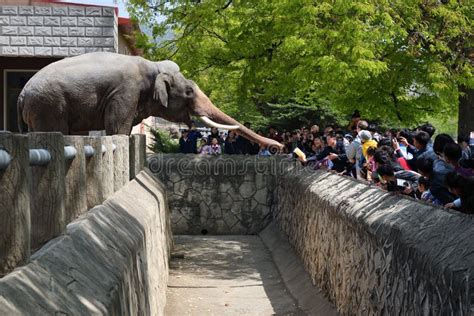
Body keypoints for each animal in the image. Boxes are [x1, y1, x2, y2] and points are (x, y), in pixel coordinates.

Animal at [18, 51, 284, 150]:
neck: (152, 66)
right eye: (189, 92)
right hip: (48, 105)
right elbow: (117, 128)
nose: (278, 147)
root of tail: (21, 94)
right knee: (54, 130)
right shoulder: (125, 92)